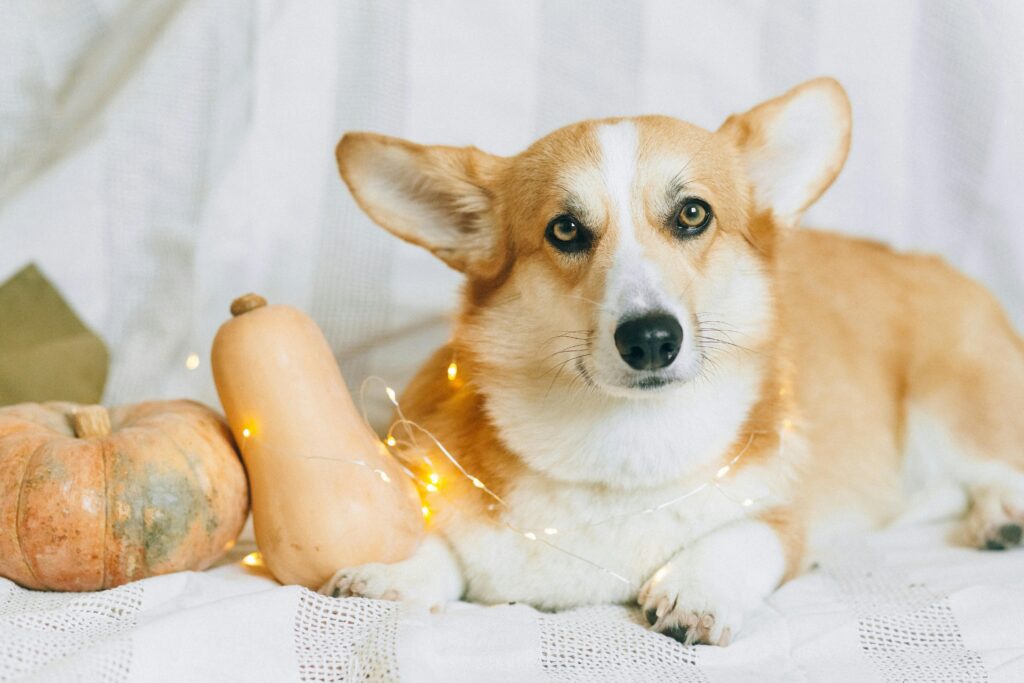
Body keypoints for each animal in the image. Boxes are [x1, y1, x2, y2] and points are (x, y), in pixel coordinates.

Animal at [319, 78, 1024, 647]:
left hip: (950, 409)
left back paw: (1000, 516)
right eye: (565, 230)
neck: (621, 450)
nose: (652, 339)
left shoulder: (783, 522)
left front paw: (698, 590)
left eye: (692, 214)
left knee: (996, 465)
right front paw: (395, 574)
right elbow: (443, 547)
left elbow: (742, 537)